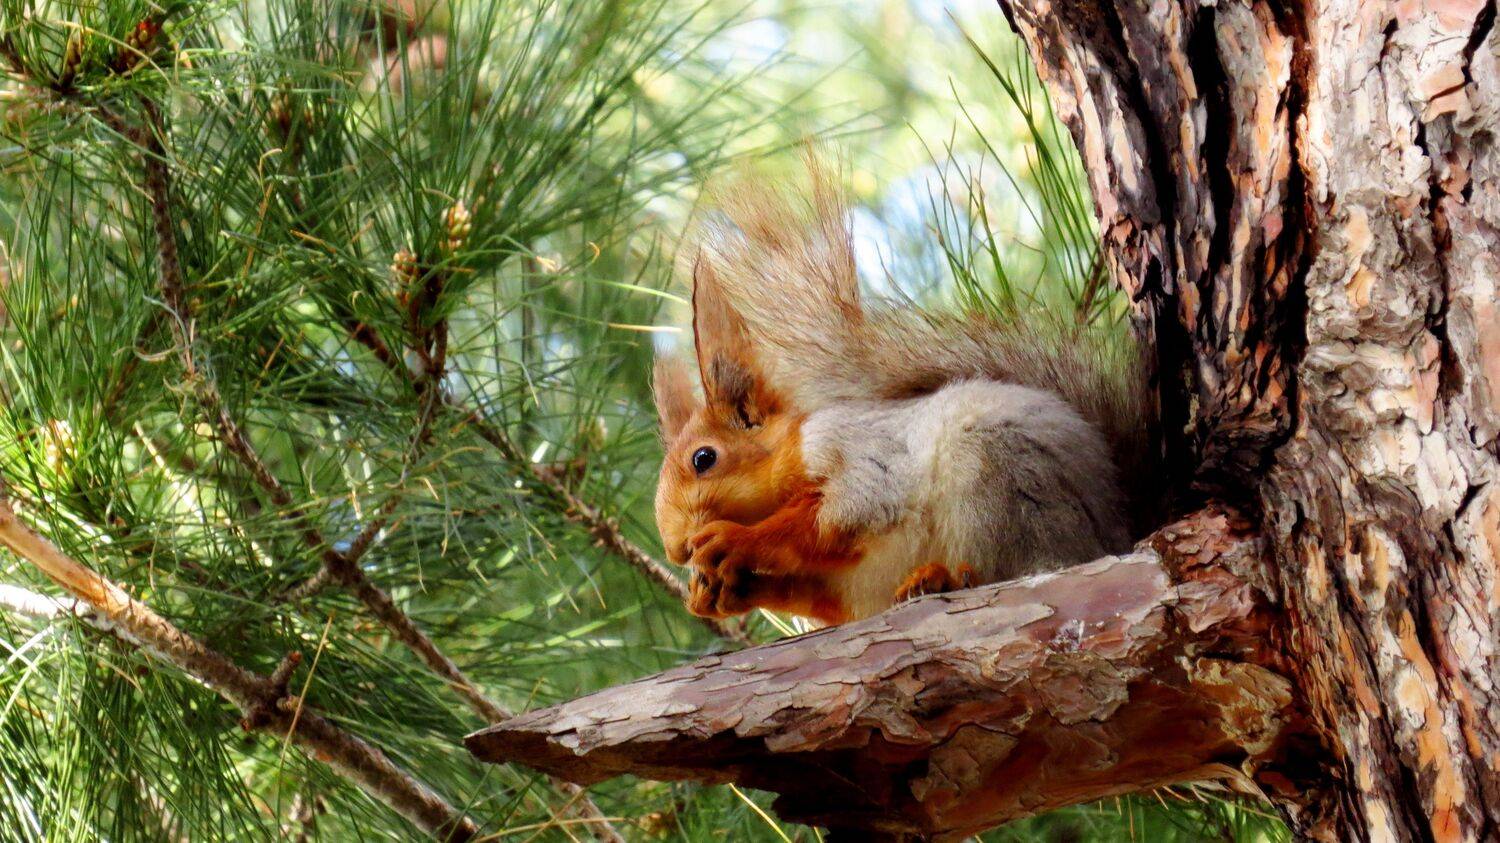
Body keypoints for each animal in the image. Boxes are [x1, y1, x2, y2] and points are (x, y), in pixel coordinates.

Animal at [653, 163, 1155, 626]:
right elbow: (815, 596)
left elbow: (838, 513)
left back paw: (948, 576)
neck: (786, 456)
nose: (676, 549)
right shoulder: (848, 589)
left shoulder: (854, 453)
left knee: (1036, 564)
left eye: (704, 458)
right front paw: (720, 592)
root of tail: (1117, 527)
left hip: (999, 480)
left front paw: (736, 540)